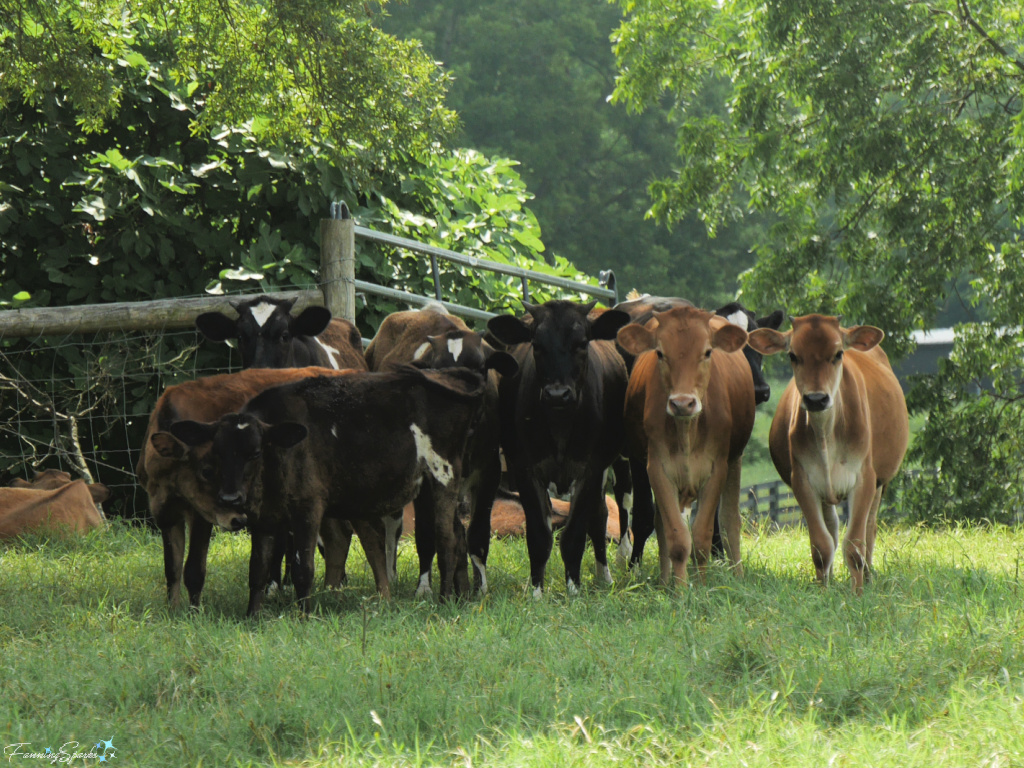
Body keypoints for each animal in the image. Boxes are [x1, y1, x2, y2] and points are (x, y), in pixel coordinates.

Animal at [167, 368, 487, 618]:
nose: (230, 499)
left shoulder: (308, 507)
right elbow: (257, 569)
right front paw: (251, 617)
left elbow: (303, 568)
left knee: (446, 540)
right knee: (459, 537)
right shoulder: (263, 517)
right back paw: (461, 597)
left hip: (443, 475)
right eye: (218, 454)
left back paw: (445, 601)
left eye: (255, 452)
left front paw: (304, 616)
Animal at [483, 299, 626, 593]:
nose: (558, 394)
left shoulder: (591, 469)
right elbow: (540, 534)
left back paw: (604, 577)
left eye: (582, 343)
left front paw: (573, 589)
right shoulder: (524, 467)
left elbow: (574, 535)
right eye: (536, 345)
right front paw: (537, 590)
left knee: (599, 516)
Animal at [614, 303, 753, 585]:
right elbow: (676, 538)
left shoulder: (717, 469)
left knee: (730, 520)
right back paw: (665, 581)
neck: (687, 430)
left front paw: (702, 587)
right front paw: (678, 589)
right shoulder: (657, 468)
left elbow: (701, 537)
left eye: (708, 352)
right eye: (659, 353)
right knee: (660, 523)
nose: (682, 403)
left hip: (736, 459)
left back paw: (738, 576)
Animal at [745, 315, 913, 593]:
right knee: (832, 528)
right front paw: (824, 590)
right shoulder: (802, 480)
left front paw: (858, 593)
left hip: (881, 482)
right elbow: (821, 546)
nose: (816, 399)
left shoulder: (865, 478)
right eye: (793, 355)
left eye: (838, 354)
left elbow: (855, 545)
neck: (826, 434)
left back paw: (869, 575)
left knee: (870, 527)